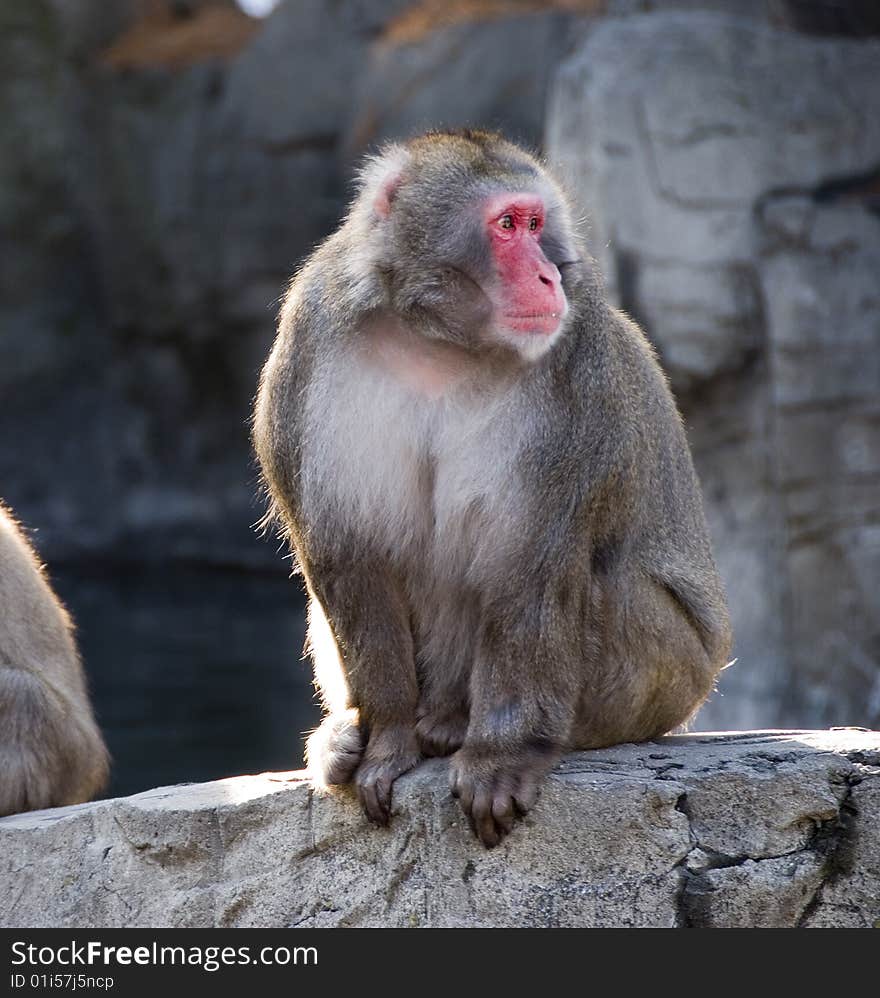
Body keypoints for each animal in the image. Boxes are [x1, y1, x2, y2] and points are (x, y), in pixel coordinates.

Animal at [253, 131, 728, 852]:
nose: (548, 275)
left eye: (535, 225)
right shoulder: (309, 337)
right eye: (506, 226)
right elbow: (348, 554)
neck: (436, 339)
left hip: (665, 671)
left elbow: (527, 561)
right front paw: (387, 740)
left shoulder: (576, 362)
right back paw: (360, 735)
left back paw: (476, 728)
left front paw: (502, 757)